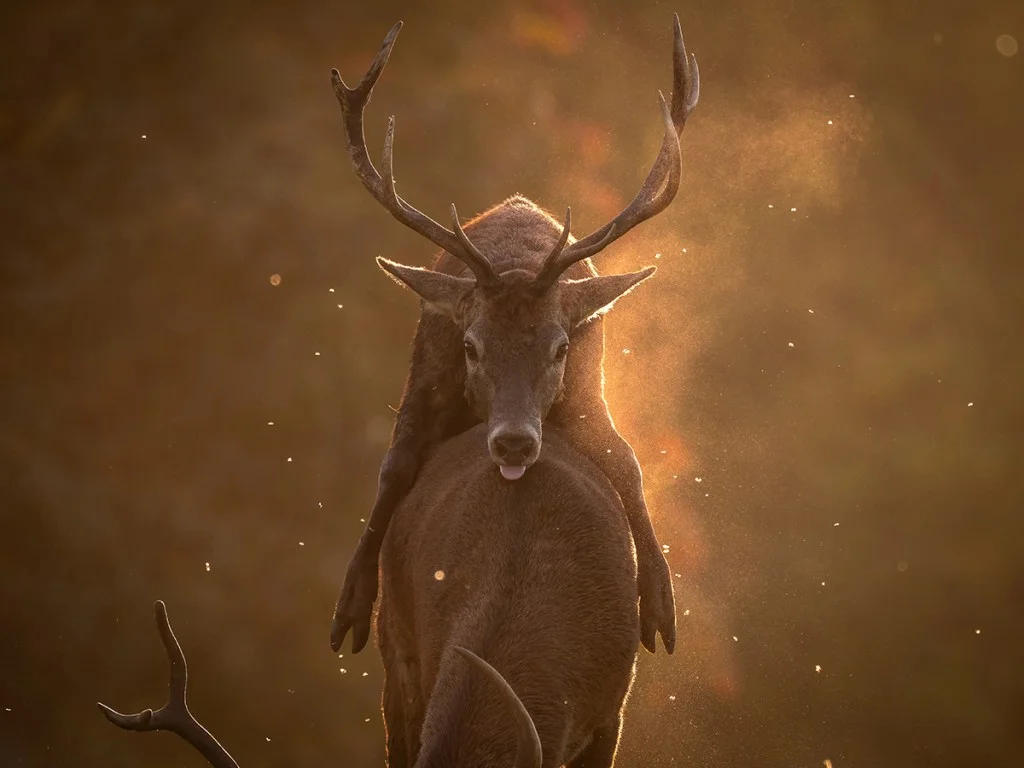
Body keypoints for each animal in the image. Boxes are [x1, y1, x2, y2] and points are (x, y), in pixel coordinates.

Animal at [329, 14, 700, 663]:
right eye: (471, 345)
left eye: (561, 347)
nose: (514, 444)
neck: (519, 262)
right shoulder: (428, 368)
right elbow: (393, 466)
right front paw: (352, 603)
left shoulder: (589, 384)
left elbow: (626, 460)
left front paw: (659, 603)